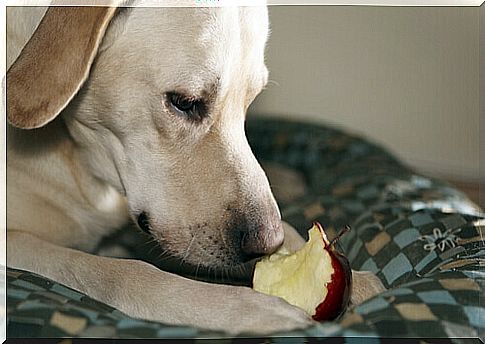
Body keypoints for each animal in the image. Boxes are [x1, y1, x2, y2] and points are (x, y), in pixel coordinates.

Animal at [5, 2, 384, 336]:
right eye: (185, 103)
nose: (267, 242)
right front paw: (240, 308)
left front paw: (347, 274)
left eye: (250, 102)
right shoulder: (19, 244)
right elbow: (113, 270)